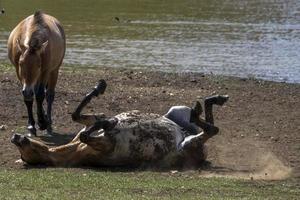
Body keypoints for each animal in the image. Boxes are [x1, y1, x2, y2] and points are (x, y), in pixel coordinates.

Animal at [10, 80, 229, 168]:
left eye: (25, 148)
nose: (16, 137)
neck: (74, 149)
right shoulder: (103, 144)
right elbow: (90, 131)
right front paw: (109, 120)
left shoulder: (87, 124)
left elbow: (78, 115)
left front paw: (99, 88)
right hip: (188, 144)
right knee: (211, 129)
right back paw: (204, 107)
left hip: (175, 110)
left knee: (204, 121)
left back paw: (210, 102)